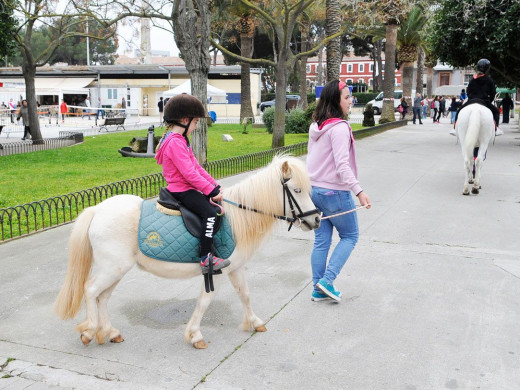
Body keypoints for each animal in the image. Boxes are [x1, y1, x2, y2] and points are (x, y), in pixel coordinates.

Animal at [53, 157, 320, 348]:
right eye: (297, 190)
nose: (317, 219)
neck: (237, 218)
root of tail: (97, 210)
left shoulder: (235, 268)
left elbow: (245, 295)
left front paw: (255, 323)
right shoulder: (216, 270)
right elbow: (205, 301)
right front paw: (195, 335)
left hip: (116, 269)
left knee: (103, 297)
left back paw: (109, 332)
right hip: (112, 268)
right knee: (91, 291)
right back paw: (90, 331)